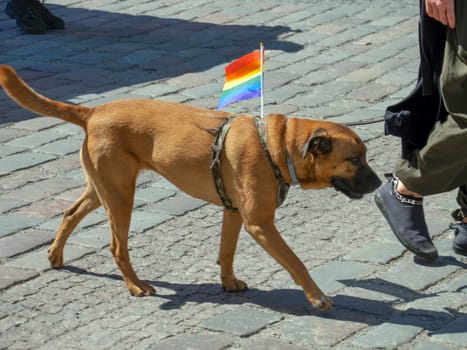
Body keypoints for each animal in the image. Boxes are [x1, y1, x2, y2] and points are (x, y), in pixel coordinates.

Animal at [0, 65, 380, 308]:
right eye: (355, 159)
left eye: (364, 155)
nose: (379, 182)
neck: (276, 147)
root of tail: (93, 112)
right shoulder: (260, 223)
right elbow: (296, 262)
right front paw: (317, 297)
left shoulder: (234, 213)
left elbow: (226, 251)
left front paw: (228, 283)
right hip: (121, 197)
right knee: (117, 246)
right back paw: (135, 286)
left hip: (103, 188)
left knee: (69, 213)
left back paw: (55, 255)